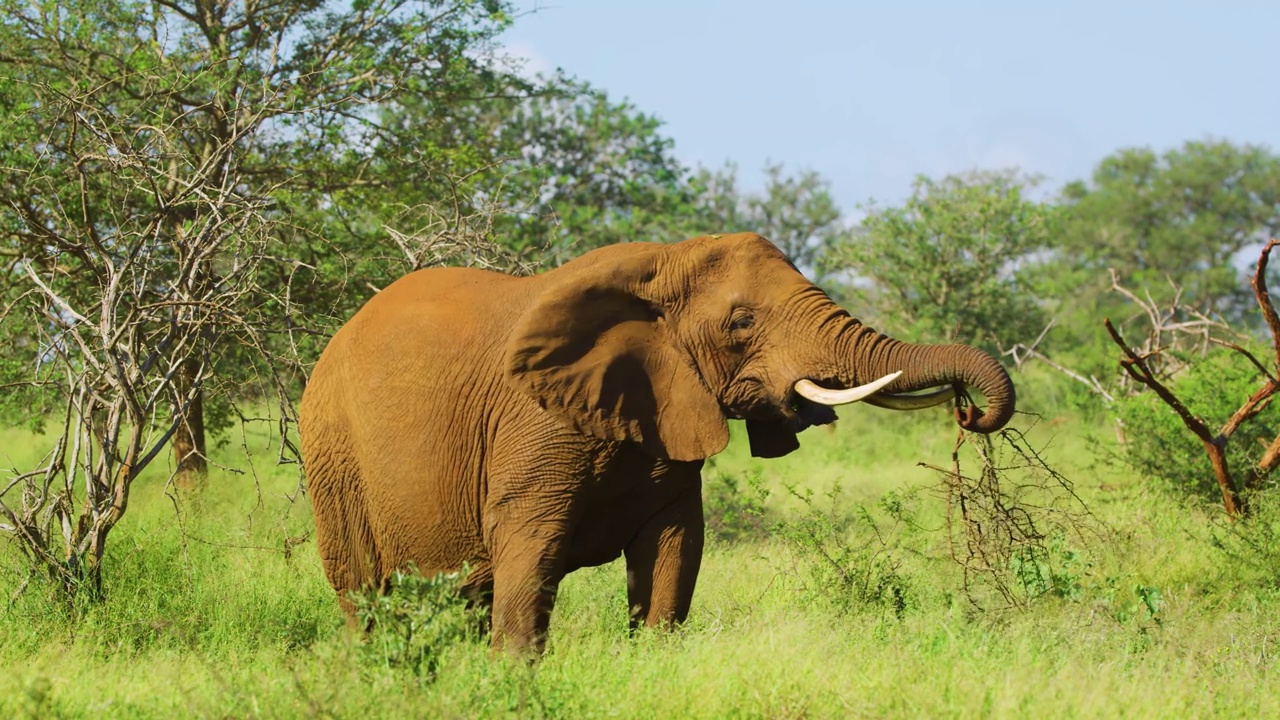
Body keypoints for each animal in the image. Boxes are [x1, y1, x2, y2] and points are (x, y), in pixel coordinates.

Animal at [296, 233, 1008, 653]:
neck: (662, 262)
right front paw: (511, 679)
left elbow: (674, 548)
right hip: (332, 454)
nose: (968, 409)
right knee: (363, 593)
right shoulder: (534, 423)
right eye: (740, 322)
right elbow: (528, 550)